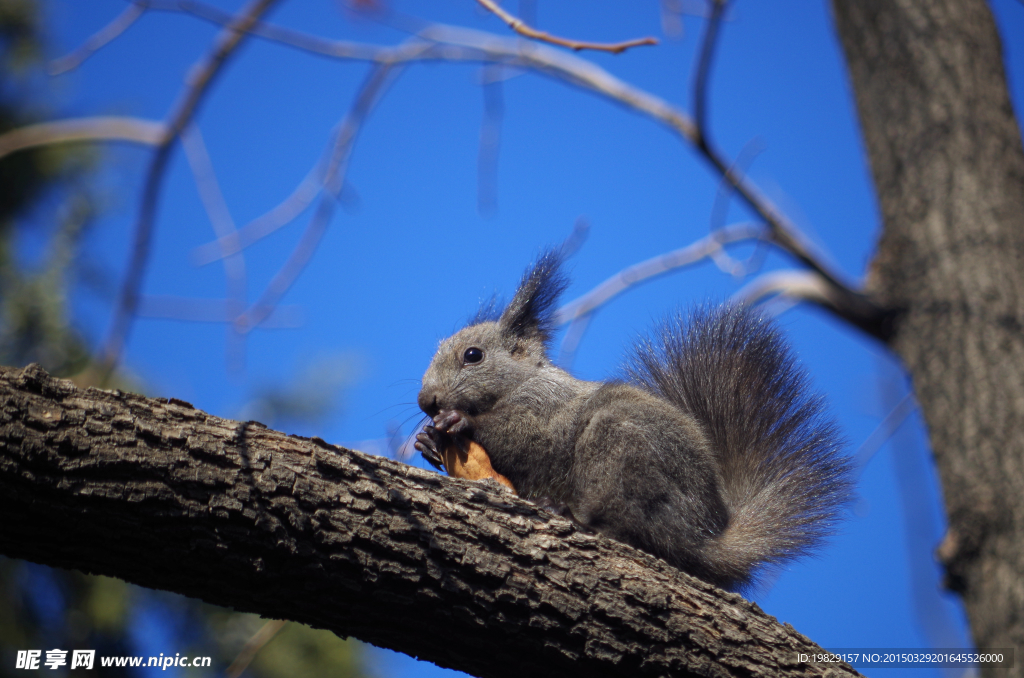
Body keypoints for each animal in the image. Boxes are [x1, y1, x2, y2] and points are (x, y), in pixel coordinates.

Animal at [411, 249, 851, 589]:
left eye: (473, 355)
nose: (425, 401)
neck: (520, 384)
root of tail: (705, 538)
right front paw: (427, 443)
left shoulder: (547, 409)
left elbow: (529, 438)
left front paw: (460, 422)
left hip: (622, 453)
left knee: (628, 524)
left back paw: (573, 516)